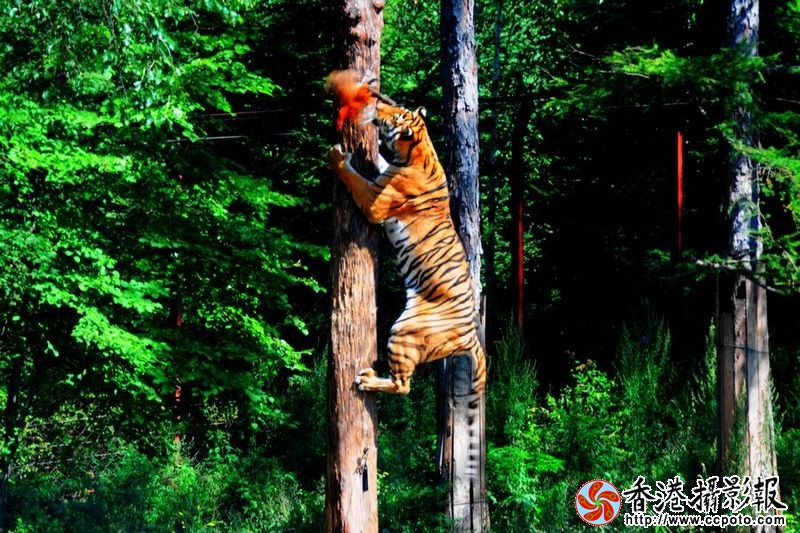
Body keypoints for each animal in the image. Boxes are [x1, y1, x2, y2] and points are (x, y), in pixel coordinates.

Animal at [326, 71, 487, 412]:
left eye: (396, 116)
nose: (378, 105)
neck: (419, 149)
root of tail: (471, 336)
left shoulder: (374, 201)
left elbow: (355, 177)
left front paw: (337, 157)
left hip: (404, 330)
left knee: (403, 386)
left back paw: (367, 380)